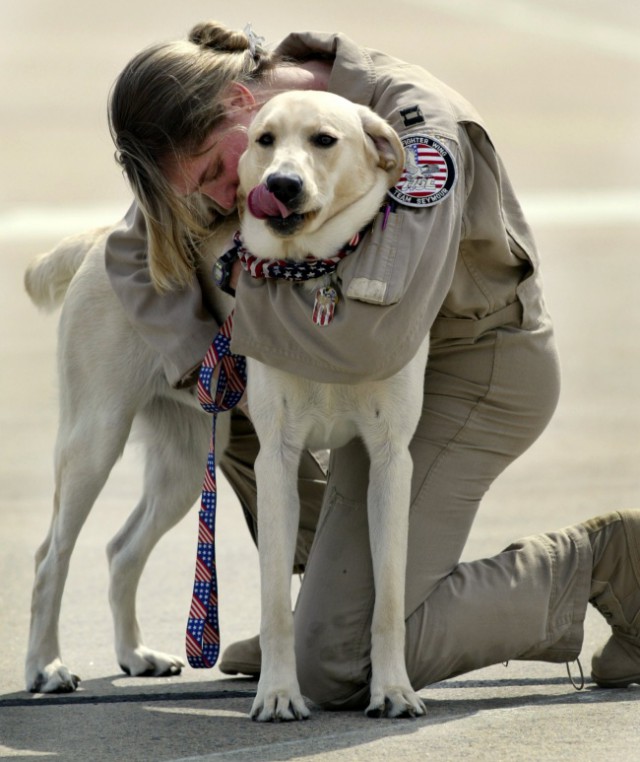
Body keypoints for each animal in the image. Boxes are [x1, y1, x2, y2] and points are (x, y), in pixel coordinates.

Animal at [25, 89, 428, 720]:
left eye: (325, 140)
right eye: (264, 139)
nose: (281, 183)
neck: (312, 274)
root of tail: (98, 240)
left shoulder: (390, 460)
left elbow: (387, 598)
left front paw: (393, 690)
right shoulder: (277, 460)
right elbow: (275, 603)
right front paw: (279, 694)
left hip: (187, 465)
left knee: (120, 550)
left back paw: (135, 655)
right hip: (94, 441)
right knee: (51, 557)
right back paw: (45, 667)